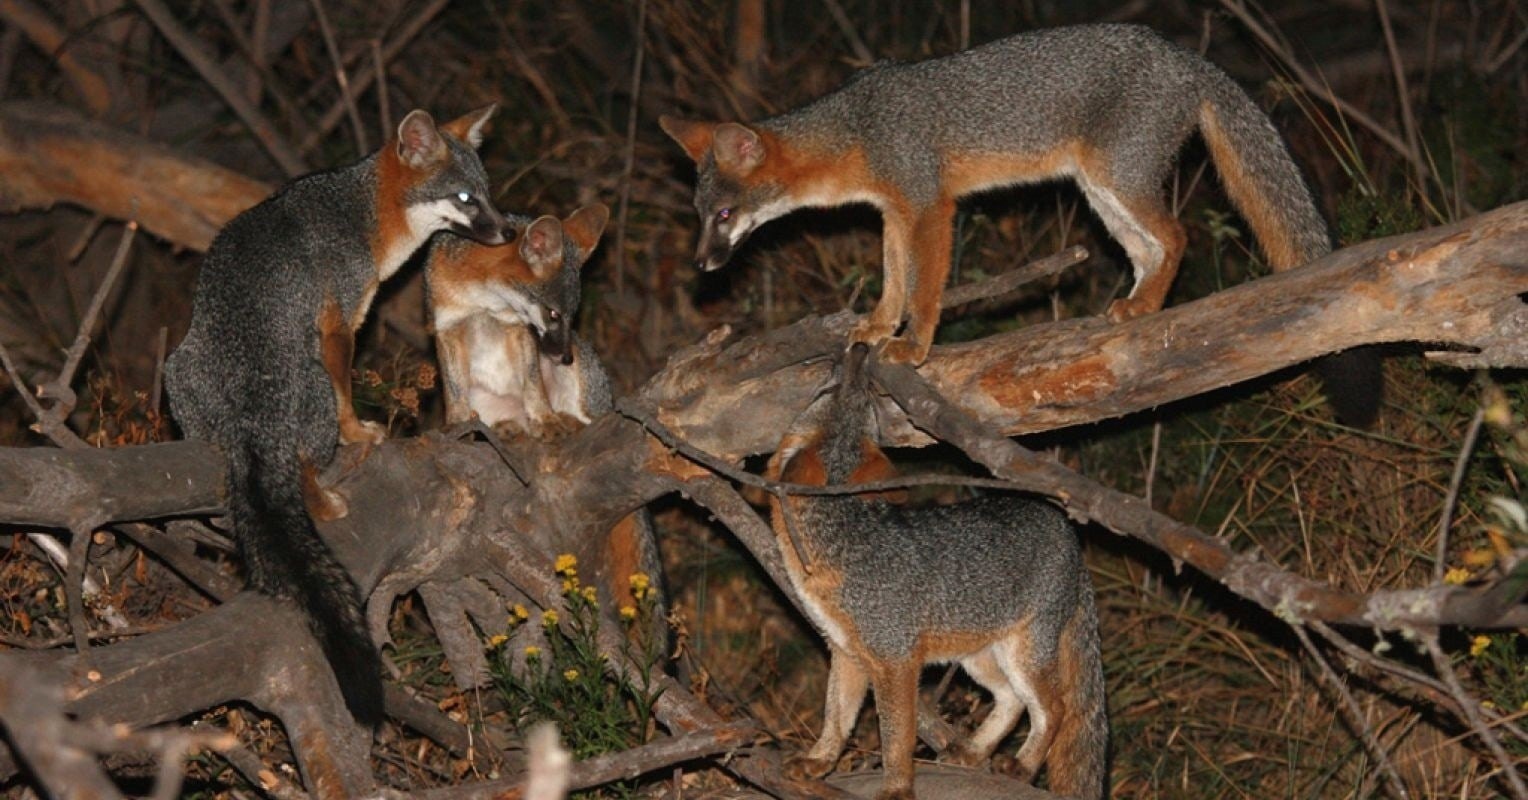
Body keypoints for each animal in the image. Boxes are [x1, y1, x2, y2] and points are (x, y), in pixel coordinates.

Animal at [166, 103, 510, 720]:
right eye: (465, 198)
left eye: (487, 193)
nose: (506, 232)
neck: (363, 214)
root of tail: (251, 422)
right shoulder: (339, 324)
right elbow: (346, 390)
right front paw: (359, 433)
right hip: (306, 393)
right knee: (303, 465)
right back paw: (324, 500)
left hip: (175, 368)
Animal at [663, 24, 1381, 421]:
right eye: (699, 217)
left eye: (724, 216)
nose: (699, 265)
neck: (856, 129)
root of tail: (1185, 55)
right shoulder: (895, 212)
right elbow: (894, 280)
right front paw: (876, 326)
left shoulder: (931, 206)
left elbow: (926, 289)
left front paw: (915, 346)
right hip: (1100, 191)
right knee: (1150, 248)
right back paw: (1135, 308)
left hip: (1118, 179)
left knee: (1180, 236)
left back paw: (1147, 306)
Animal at [770, 345, 1106, 800]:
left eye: (833, 391)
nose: (859, 351)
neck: (841, 544)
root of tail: (1065, 526)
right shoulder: (845, 651)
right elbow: (836, 717)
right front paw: (819, 761)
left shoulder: (896, 661)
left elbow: (896, 737)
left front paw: (896, 789)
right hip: (978, 658)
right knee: (1012, 700)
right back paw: (975, 751)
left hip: (1023, 655)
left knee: (1055, 707)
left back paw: (1021, 765)